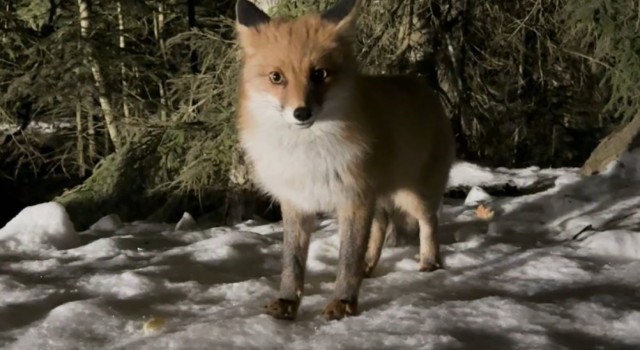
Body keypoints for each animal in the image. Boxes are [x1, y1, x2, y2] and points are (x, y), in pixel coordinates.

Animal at [235, 0, 456, 322]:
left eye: (319, 74)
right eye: (276, 77)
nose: (301, 113)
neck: (307, 154)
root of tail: (421, 85)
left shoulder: (354, 199)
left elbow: (348, 260)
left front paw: (343, 302)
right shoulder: (297, 202)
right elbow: (292, 262)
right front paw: (287, 302)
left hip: (412, 195)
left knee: (428, 220)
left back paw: (429, 262)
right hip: (381, 197)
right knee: (382, 223)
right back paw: (370, 266)